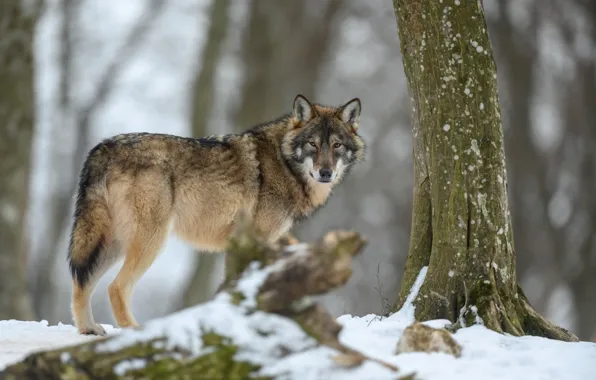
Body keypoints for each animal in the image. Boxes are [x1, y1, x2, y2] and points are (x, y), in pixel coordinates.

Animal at [68, 95, 368, 336]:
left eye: (337, 145)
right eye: (312, 145)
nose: (325, 173)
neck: (283, 163)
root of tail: (102, 148)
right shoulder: (254, 240)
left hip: (111, 243)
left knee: (81, 283)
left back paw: (88, 330)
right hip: (150, 241)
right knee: (115, 288)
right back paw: (134, 332)